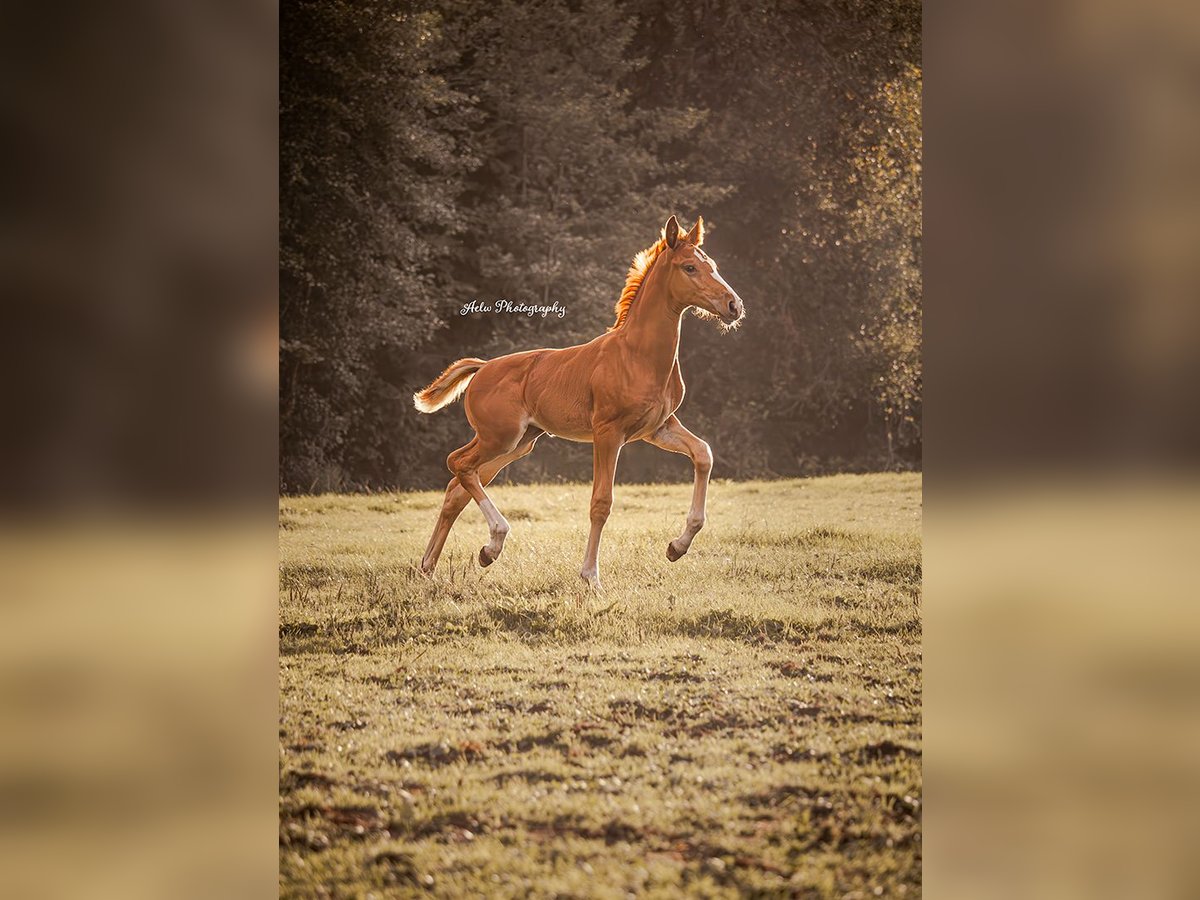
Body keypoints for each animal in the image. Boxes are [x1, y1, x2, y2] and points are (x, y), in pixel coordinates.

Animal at [417, 214, 744, 588]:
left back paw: (437, 564)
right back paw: (492, 541)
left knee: (457, 487)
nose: (733, 306)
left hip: (518, 443)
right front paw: (590, 576)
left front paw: (677, 547)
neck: (638, 356)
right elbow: (601, 501)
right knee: (457, 463)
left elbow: (703, 454)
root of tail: (483, 367)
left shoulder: (657, 427)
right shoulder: (608, 433)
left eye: (712, 265)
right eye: (689, 267)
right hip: (498, 438)